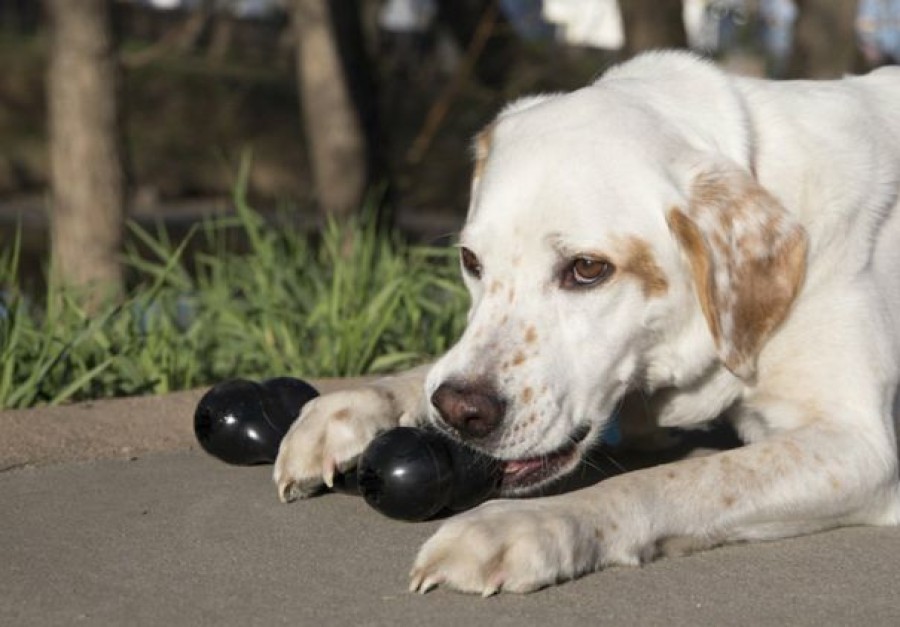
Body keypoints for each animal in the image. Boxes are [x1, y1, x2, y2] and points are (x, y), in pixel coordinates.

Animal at [274, 51, 900, 596]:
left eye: (588, 269)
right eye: (471, 261)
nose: (461, 412)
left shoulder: (859, 447)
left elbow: (680, 479)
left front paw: (523, 525)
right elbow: (425, 373)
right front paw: (352, 405)